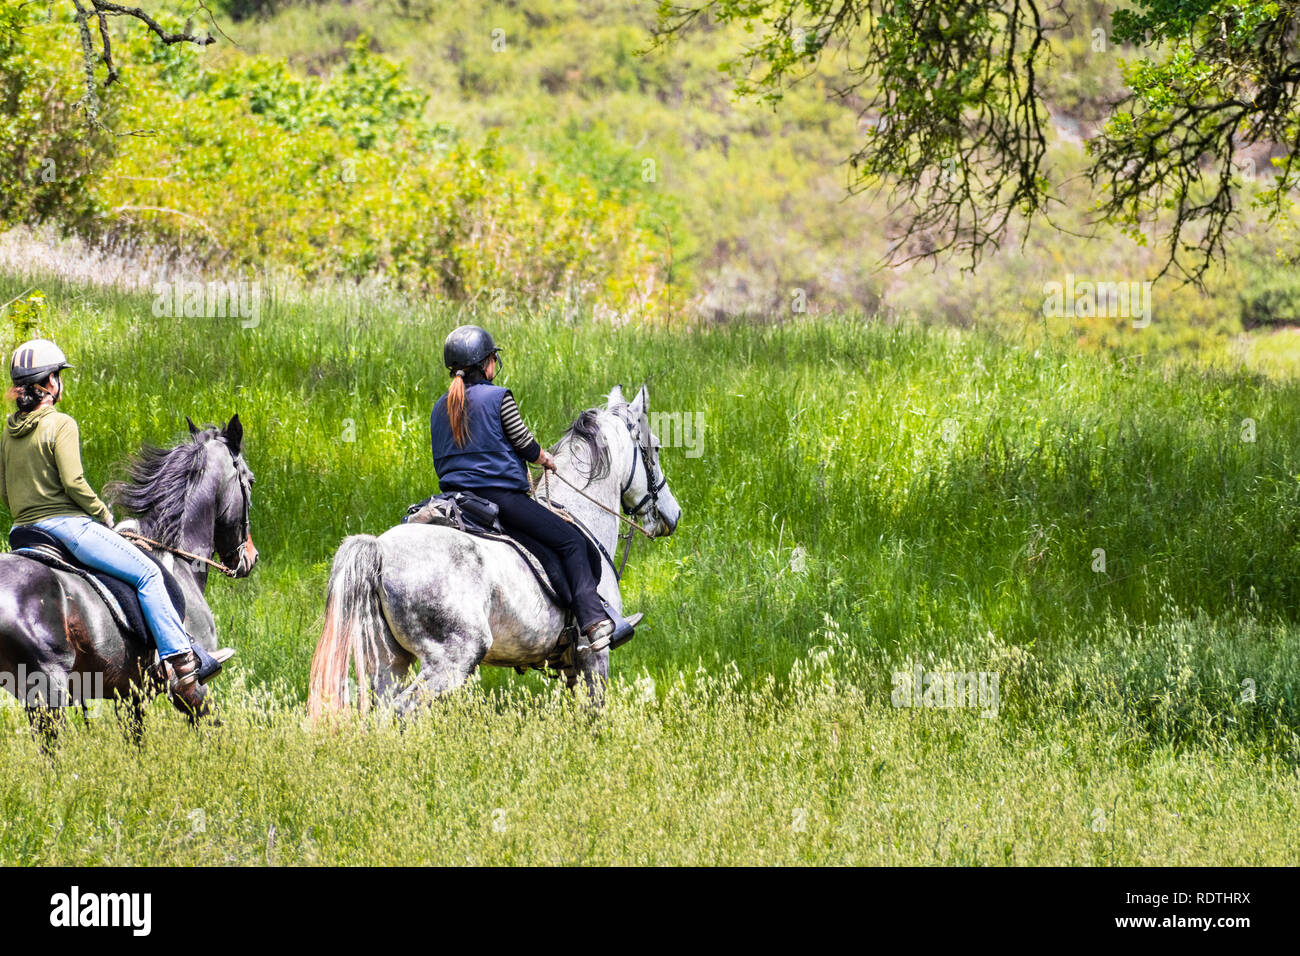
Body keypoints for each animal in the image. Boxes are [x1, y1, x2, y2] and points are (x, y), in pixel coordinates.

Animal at [0, 415, 258, 749]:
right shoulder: (193, 689)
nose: (249, 557)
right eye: (250, 481)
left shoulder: (129, 693)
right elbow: (211, 728)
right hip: (47, 685)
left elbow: (135, 742)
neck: (178, 559)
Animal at [309, 384, 682, 718]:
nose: (673, 514)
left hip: (389, 660)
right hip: (452, 659)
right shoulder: (595, 654)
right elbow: (596, 711)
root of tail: (381, 550)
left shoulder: (570, 662)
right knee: (405, 711)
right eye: (656, 449)